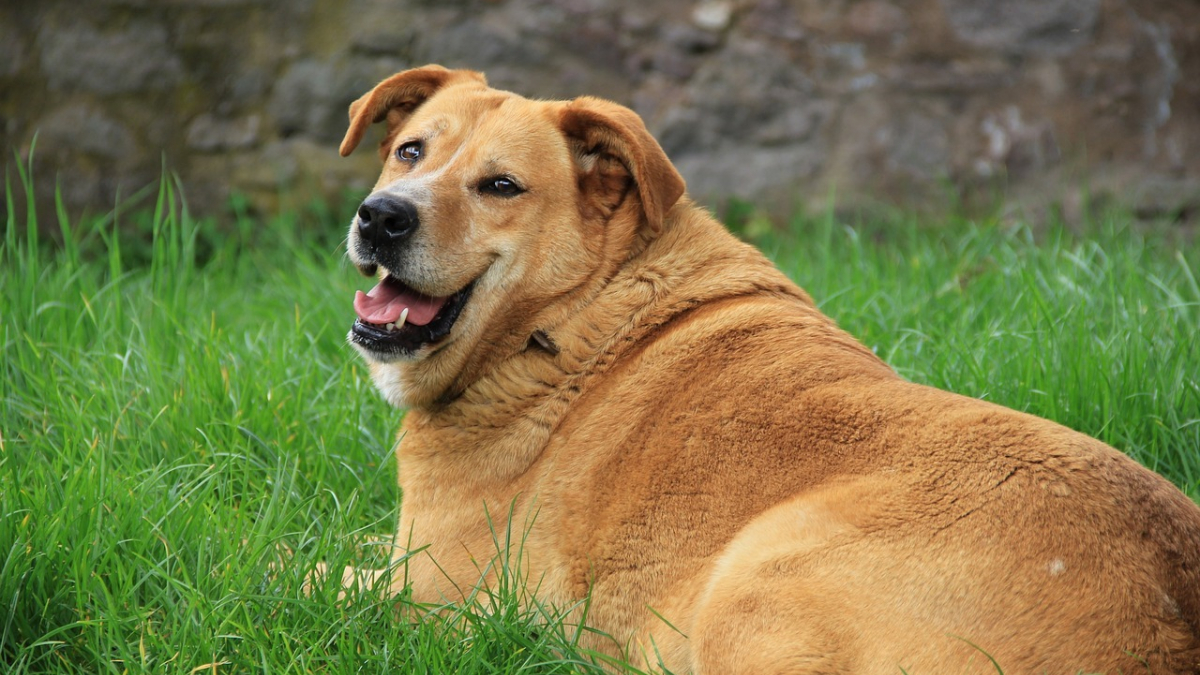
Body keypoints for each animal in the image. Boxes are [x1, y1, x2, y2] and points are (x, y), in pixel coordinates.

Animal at [336, 64, 1200, 672]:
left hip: (753, 578)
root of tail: (1170, 619)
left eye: (501, 186)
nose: (382, 216)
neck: (569, 317)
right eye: (410, 151)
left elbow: (314, 574)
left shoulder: (429, 592)